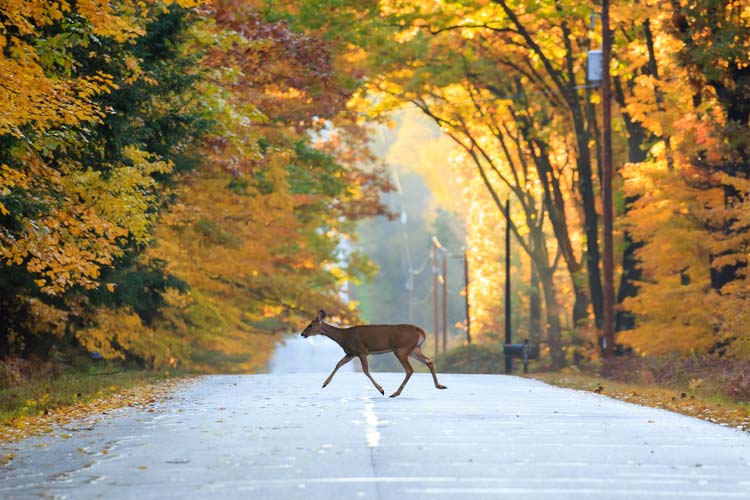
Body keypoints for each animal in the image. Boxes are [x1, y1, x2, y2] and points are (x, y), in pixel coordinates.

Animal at [302, 310, 450, 396]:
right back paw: (440, 386)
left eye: (310, 325)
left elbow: (366, 370)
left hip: (401, 348)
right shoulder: (351, 353)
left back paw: (395, 393)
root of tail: (420, 331)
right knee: (429, 360)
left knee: (410, 369)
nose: (302, 333)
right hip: (414, 349)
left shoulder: (361, 350)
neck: (343, 337)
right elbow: (338, 364)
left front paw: (381, 389)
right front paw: (325, 383)